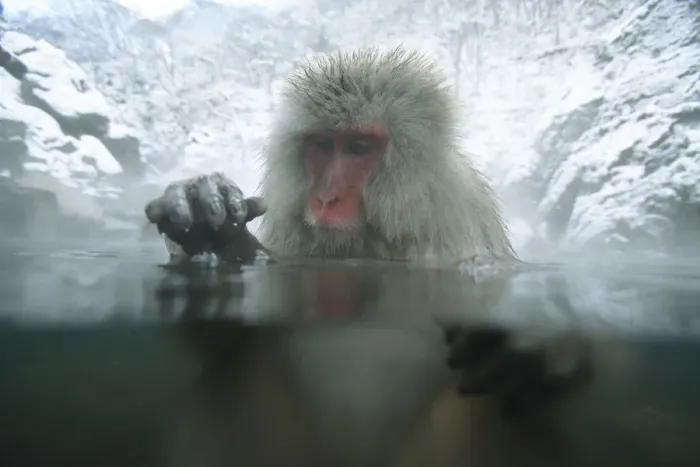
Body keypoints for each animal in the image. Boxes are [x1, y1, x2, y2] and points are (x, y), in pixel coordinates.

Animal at [144, 48, 593, 465]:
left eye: (359, 147)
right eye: (322, 145)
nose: (326, 197)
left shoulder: (460, 225)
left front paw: (535, 342)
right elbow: (229, 338)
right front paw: (214, 236)